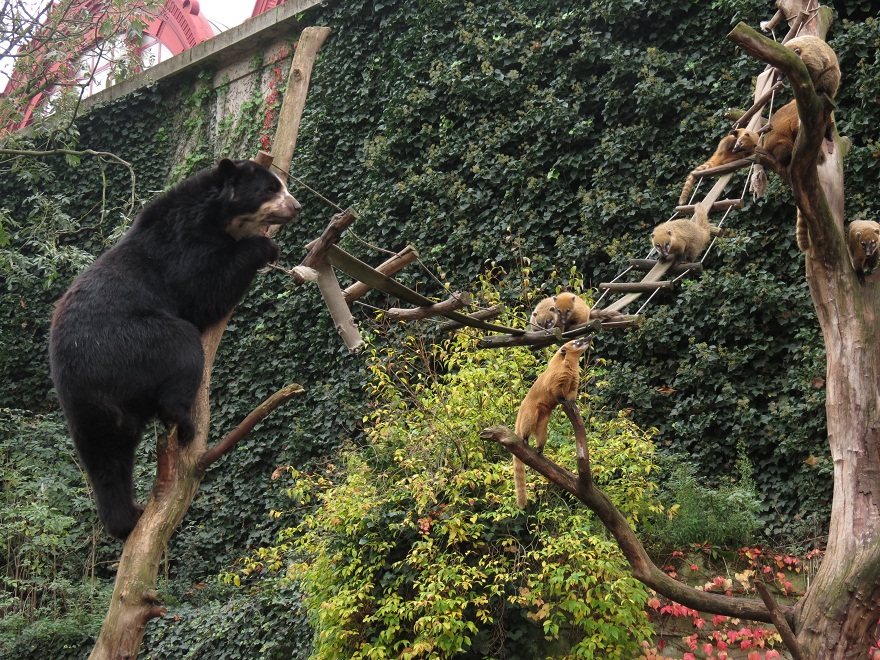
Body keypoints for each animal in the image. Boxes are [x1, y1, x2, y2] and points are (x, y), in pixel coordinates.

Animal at [48, 158, 302, 540]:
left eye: (282, 186)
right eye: (270, 190)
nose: (296, 206)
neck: (218, 217)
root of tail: (83, 379)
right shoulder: (183, 247)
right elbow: (203, 292)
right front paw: (265, 248)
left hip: (89, 412)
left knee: (108, 459)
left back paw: (126, 518)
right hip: (132, 342)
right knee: (182, 346)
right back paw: (183, 421)